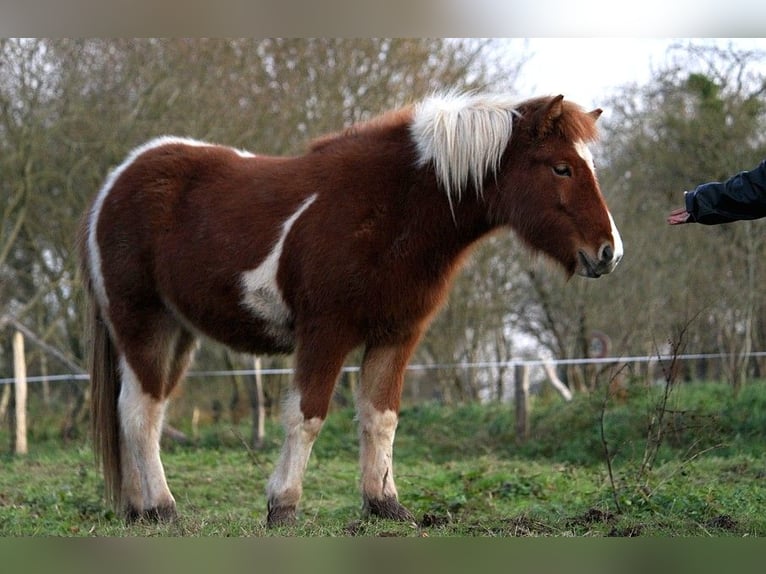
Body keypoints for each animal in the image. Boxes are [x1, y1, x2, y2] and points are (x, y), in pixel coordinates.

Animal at [79, 92, 624, 528]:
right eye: (561, 167)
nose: (608, 253)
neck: (391, 207)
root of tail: (114, 185)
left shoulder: (396, 336)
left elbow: (381, 417)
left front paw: (385, 504)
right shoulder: (327, 333)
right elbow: (308, 415)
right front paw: (283, 506)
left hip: (177, 333)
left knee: (138, 410)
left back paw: (138, 509)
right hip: (143, 324)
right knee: (141, 413)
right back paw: (162, 508)